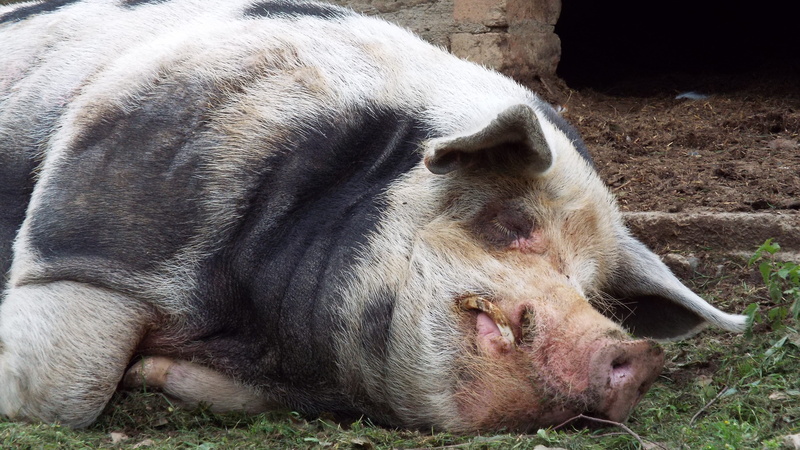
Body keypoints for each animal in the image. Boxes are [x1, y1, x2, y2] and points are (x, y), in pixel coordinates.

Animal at [0, 0, 746, 432]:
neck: (259, 327)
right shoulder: (95, 235)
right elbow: (67, 387)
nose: (638, 354)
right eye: (510, 223)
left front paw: (150, 376)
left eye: (590, 287)